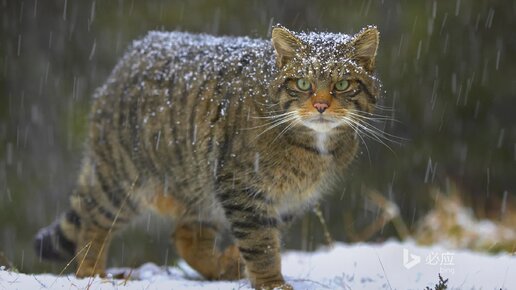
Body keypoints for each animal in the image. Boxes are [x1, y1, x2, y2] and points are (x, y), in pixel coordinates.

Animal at [33, 25, 378, 290]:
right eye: (303, 83)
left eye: (342, 84)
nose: (320, 105)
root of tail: (132, 53)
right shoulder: (242, 186)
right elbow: (261, 244)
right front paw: (271, 282)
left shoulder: (290, 200)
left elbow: (267, 238)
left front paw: (242, 263)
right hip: (123, 179)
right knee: (92, 224)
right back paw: (92, 273)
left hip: (200, 186)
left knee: (186, 236)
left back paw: (222, 266)